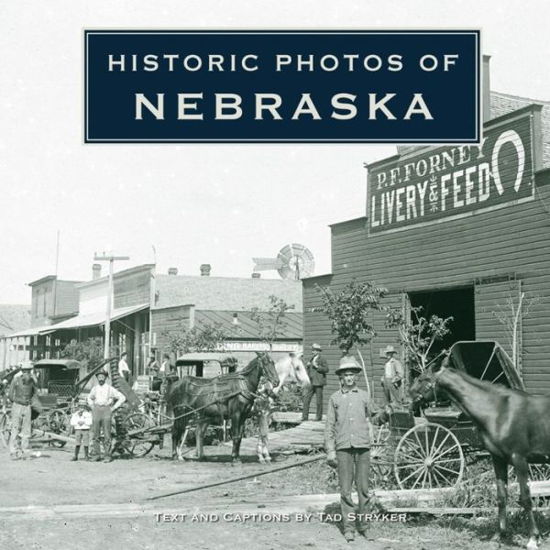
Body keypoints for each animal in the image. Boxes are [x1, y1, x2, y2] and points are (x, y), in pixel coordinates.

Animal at [412, 364, 548, 548]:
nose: (409, 398)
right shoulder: (498, 459)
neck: (500, 411)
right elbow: (501, 497)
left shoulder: (519, 459)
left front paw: (533, 538)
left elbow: (526, 498)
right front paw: (499, 535)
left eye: (423, 379)